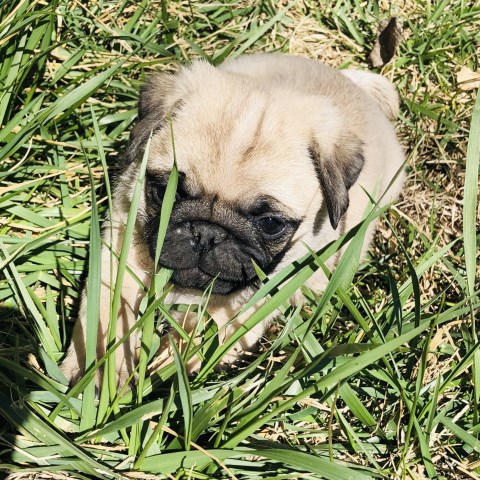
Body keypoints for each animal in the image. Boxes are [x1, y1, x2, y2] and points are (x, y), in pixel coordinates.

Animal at [60, 54, 404, 388]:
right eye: (165, 192)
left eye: (270, 224)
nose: (206, 234)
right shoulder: (122, 244)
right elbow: (107, 312)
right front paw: (97, 371)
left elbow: (199, 339)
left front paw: (162, 379)